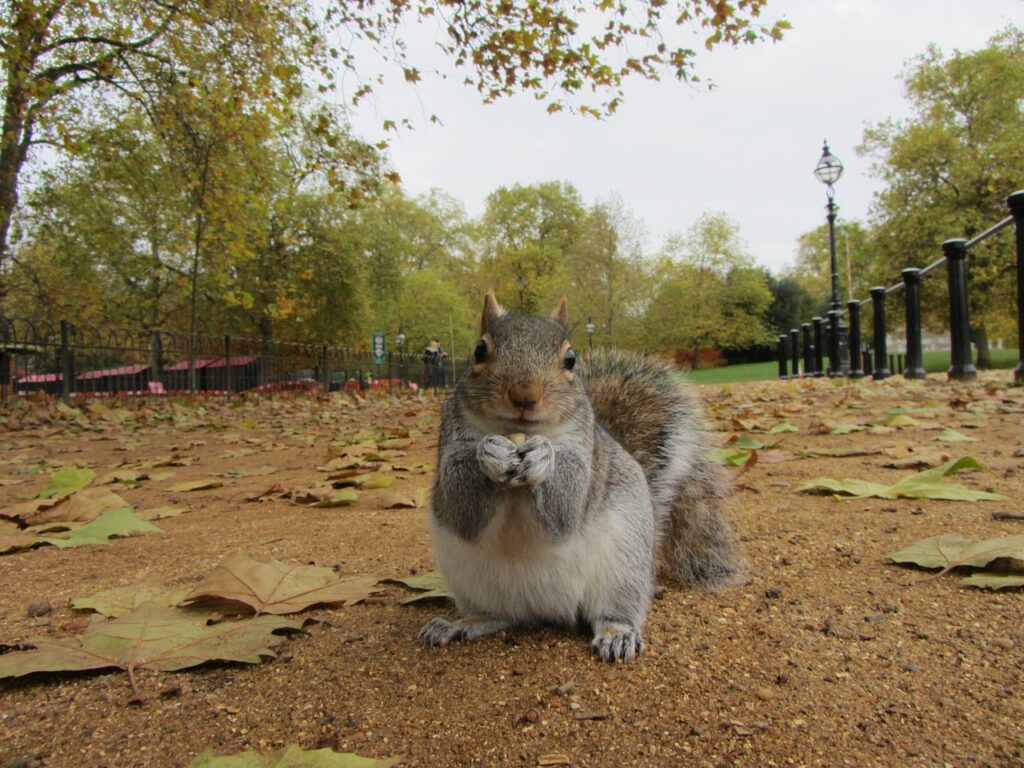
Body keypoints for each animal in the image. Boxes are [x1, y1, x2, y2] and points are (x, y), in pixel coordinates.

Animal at [417, 290, 745, 663]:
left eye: (571, 359)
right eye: (478, 351)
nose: (524, 395)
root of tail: (544, 610)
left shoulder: (584, 456)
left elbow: (567, 508)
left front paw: (544, 457)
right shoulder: (451, 442)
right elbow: (461, 507)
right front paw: (490, 452)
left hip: (624, 566)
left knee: (612, 611)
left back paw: (617, 634)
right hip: (470, 580)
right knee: (499, 615)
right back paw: (458, 624)